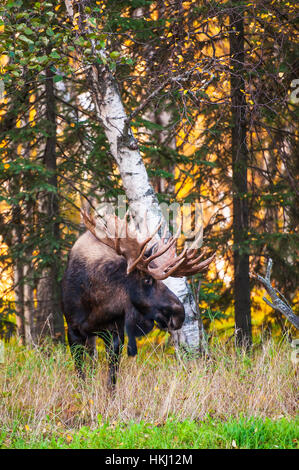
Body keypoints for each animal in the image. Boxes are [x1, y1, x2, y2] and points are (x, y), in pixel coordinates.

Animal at [62, 211, 216, 388]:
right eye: (147, 279)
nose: (179, 314)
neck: (97, 307)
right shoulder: (73, 331)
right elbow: (81, 375)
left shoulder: (116, 332)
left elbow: (112, 378)